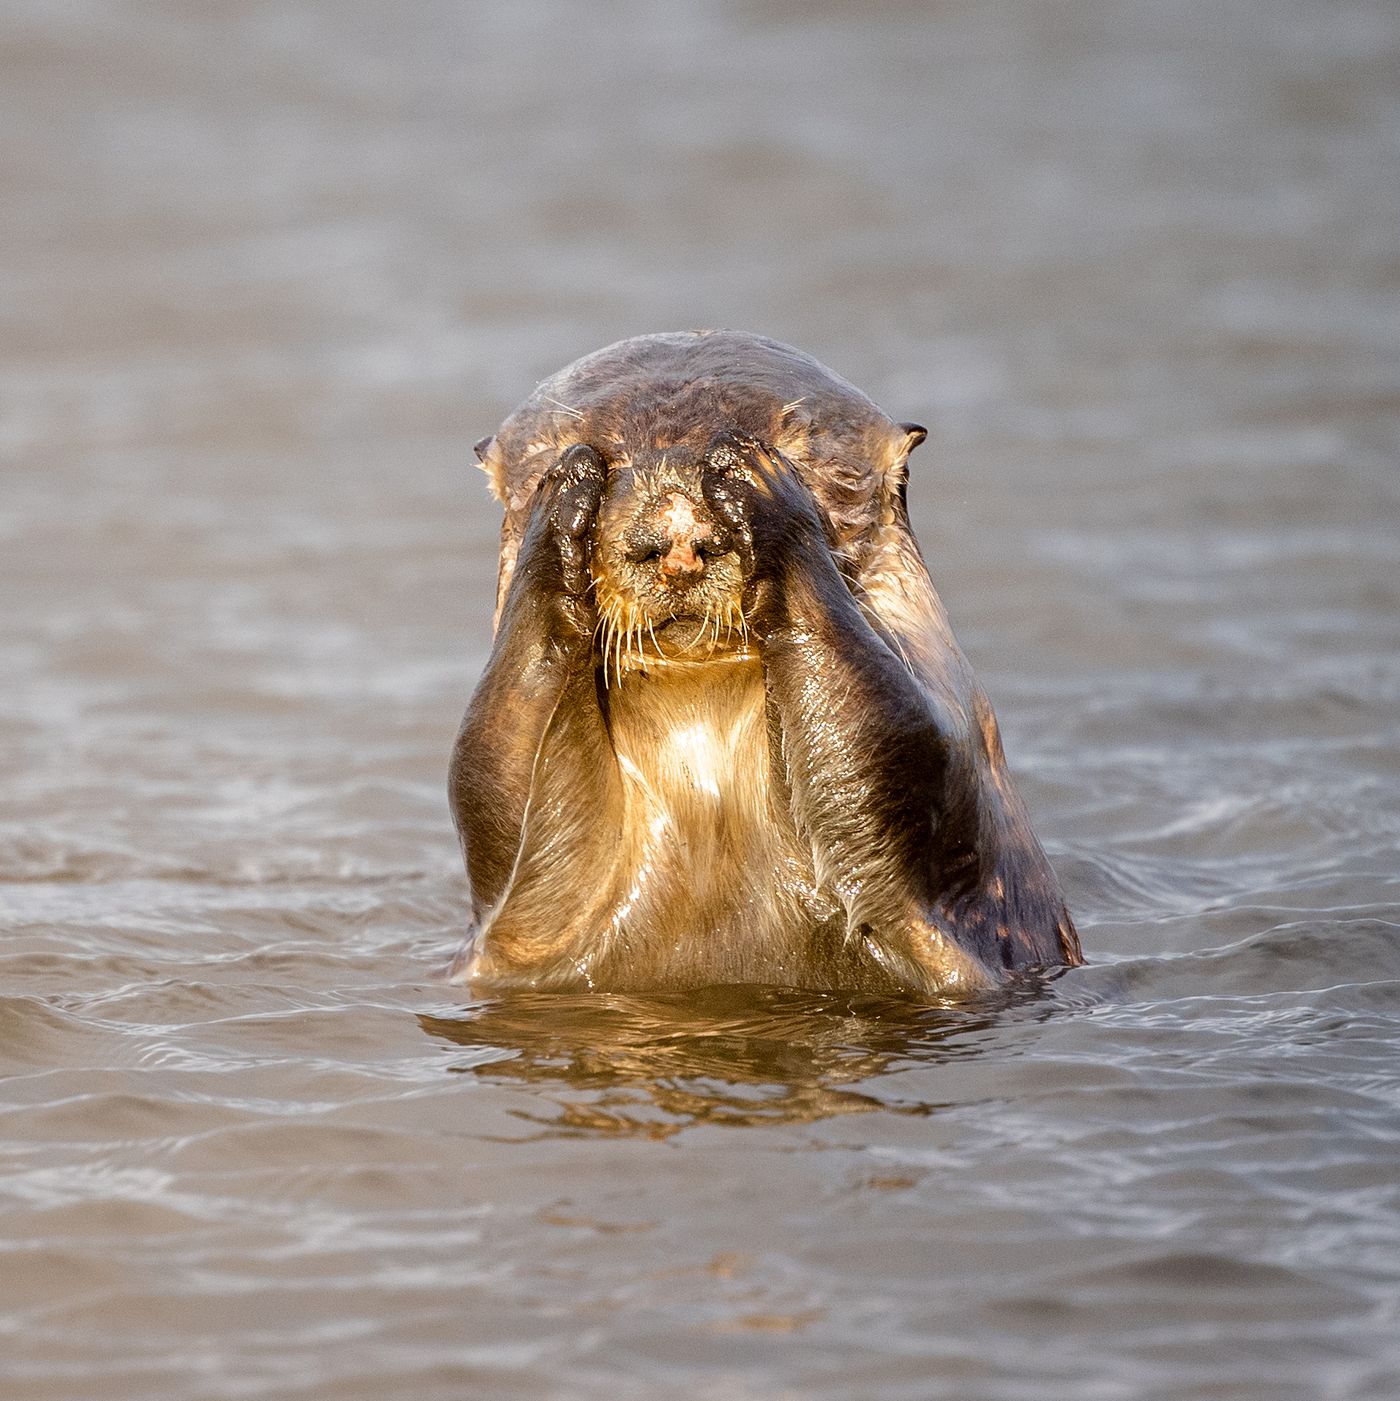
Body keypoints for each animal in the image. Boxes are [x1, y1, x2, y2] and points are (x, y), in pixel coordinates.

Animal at [448, 329, 1081, 997]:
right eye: (600, 449)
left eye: (794, 440)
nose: (677, 540)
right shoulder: (521, 917)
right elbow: (495, 767)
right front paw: (564, 494)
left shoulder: (956, 746)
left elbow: (891, 742)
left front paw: (756, 480)